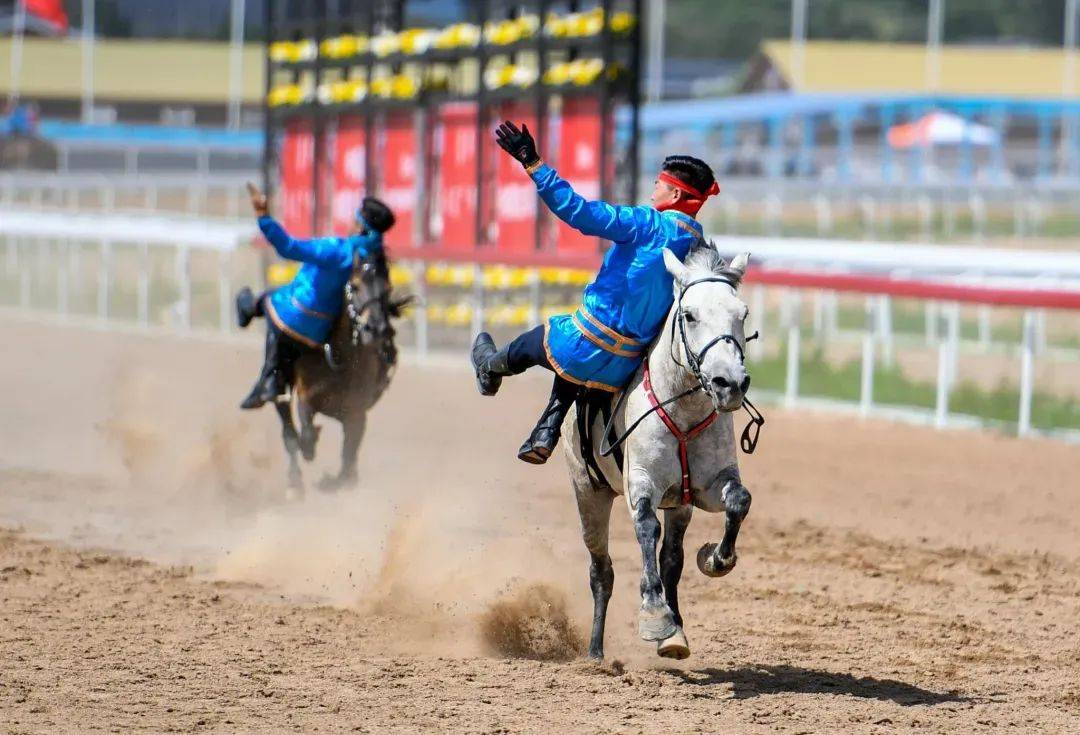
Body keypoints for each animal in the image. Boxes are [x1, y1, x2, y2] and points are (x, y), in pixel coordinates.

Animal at [274, 249, 408, 496]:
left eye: (387, 288)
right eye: (354, 286)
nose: (377, 329)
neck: (339, 355)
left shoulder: (356, 411)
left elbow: (348, 454)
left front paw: (338, 480)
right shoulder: (307, 396)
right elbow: (306, 431)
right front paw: (310, 448)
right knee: (288, 429)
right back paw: (294, 483)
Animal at [561, 245, 756, 660]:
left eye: (742, 314)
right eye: (689, 314)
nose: (729, 383)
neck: (683, 410)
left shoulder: (705, 489)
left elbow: (738, 501)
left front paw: (715, 559)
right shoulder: (641, 484)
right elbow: (646, 528)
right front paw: (654, 614)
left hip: (679, 503)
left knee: (671, 559)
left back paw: (676, 632)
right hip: (589, 493)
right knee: (601, 571)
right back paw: (596, 652)